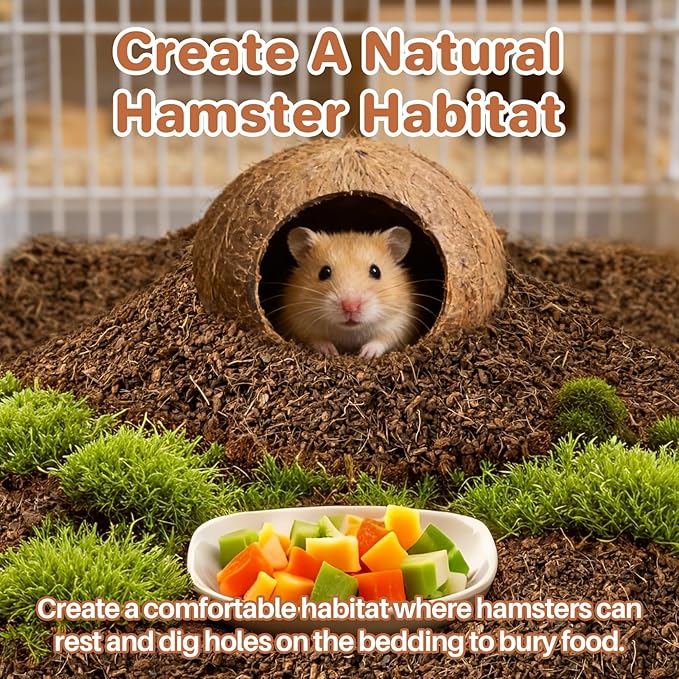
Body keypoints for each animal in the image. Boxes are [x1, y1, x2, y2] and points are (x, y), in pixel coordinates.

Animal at [279, 226, 418, 358]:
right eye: (324, 272)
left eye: (376, 271)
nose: (351, 307)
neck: (350, 332)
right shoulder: (298, 322)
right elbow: (315, 339)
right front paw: (330, 352)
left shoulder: (401, 321)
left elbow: (384, 339)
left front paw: (366, 354)